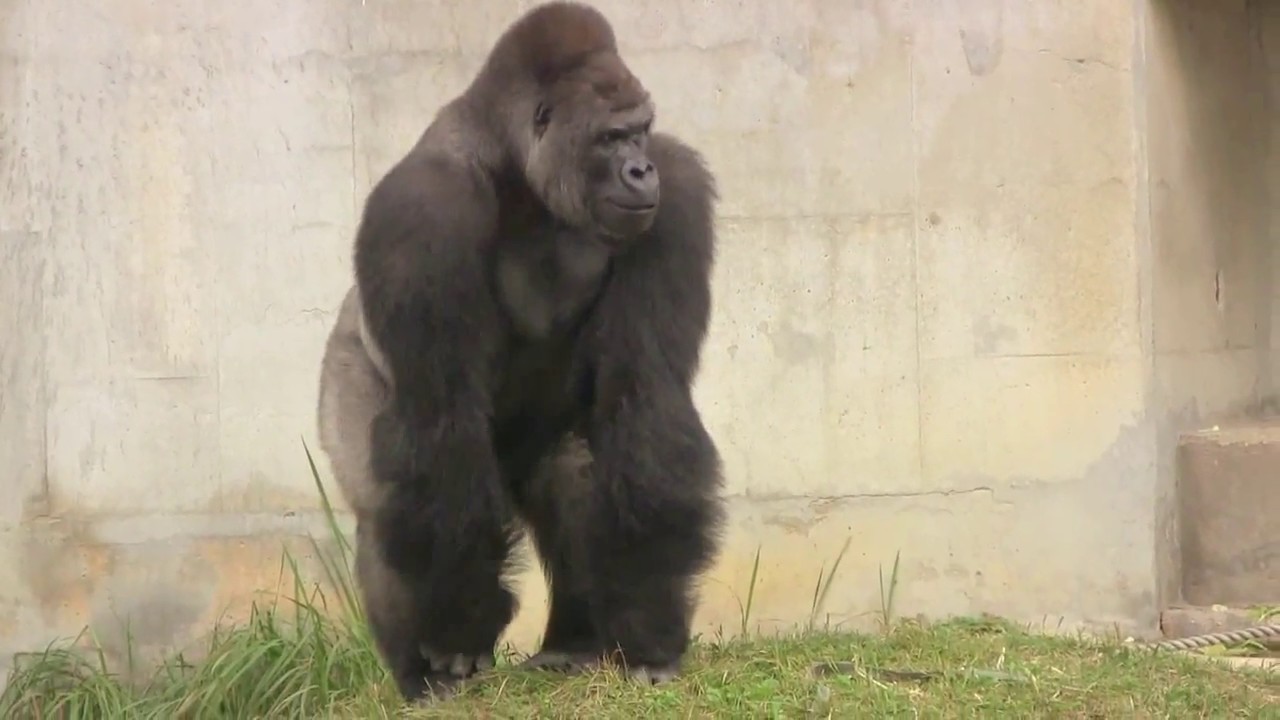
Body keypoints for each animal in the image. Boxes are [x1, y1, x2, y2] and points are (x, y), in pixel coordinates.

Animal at [316, 1, 725, 702]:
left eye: (643, 133)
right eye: (611, 137)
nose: (641, 169)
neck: (522, 179)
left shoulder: (676, 194)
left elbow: (645, 396)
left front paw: (650, 623)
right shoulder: (422, 210)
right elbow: (442, 420)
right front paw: (458, 631)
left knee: (573, 467)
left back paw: (572, 644)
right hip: (345, 380)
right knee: (386, 498)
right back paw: (420, 677)